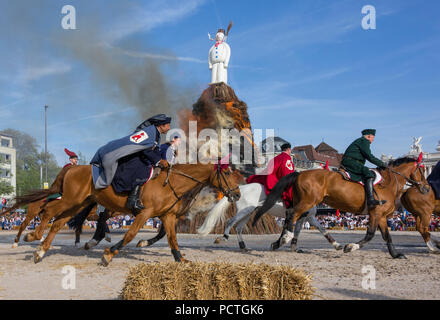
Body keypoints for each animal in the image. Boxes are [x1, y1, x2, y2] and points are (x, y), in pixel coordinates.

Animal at [18, 164, 241, 264]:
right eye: (227, 172)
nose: (237, 194)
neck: (172, 183)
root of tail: (74, 167)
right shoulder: (145, 213)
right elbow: (130, 234)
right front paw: (109, 253)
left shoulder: (168, 217)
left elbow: (171, 238)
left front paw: (179, 259)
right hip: (71, 200)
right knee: (48, 212)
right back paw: (32, 236)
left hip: (78, 203)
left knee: (57, 222)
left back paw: (41, 250)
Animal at [197, 182, 344, 252]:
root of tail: (240, 189)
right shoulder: (301, 217)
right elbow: (291, 231)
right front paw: (279, 243)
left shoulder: (307, 218)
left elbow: (321, 230)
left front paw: (337, 245)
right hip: (245, 211)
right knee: (230, 222)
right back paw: (223, 237)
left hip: (248, 213)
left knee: (238, 228)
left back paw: (243, 246)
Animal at [253, 156, 428, 258]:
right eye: (421, 170)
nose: (426, 188)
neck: (389, 182)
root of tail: (300, 173)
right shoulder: (376, 213)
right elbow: (370, 234)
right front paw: (350, 247)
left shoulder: (382, 217)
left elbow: (387, 236)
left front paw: (396, 254)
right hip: (306, 203)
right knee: (291, 216)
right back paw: (285, 239)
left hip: (302, 203)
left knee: (291, 217)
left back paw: (278, 242)